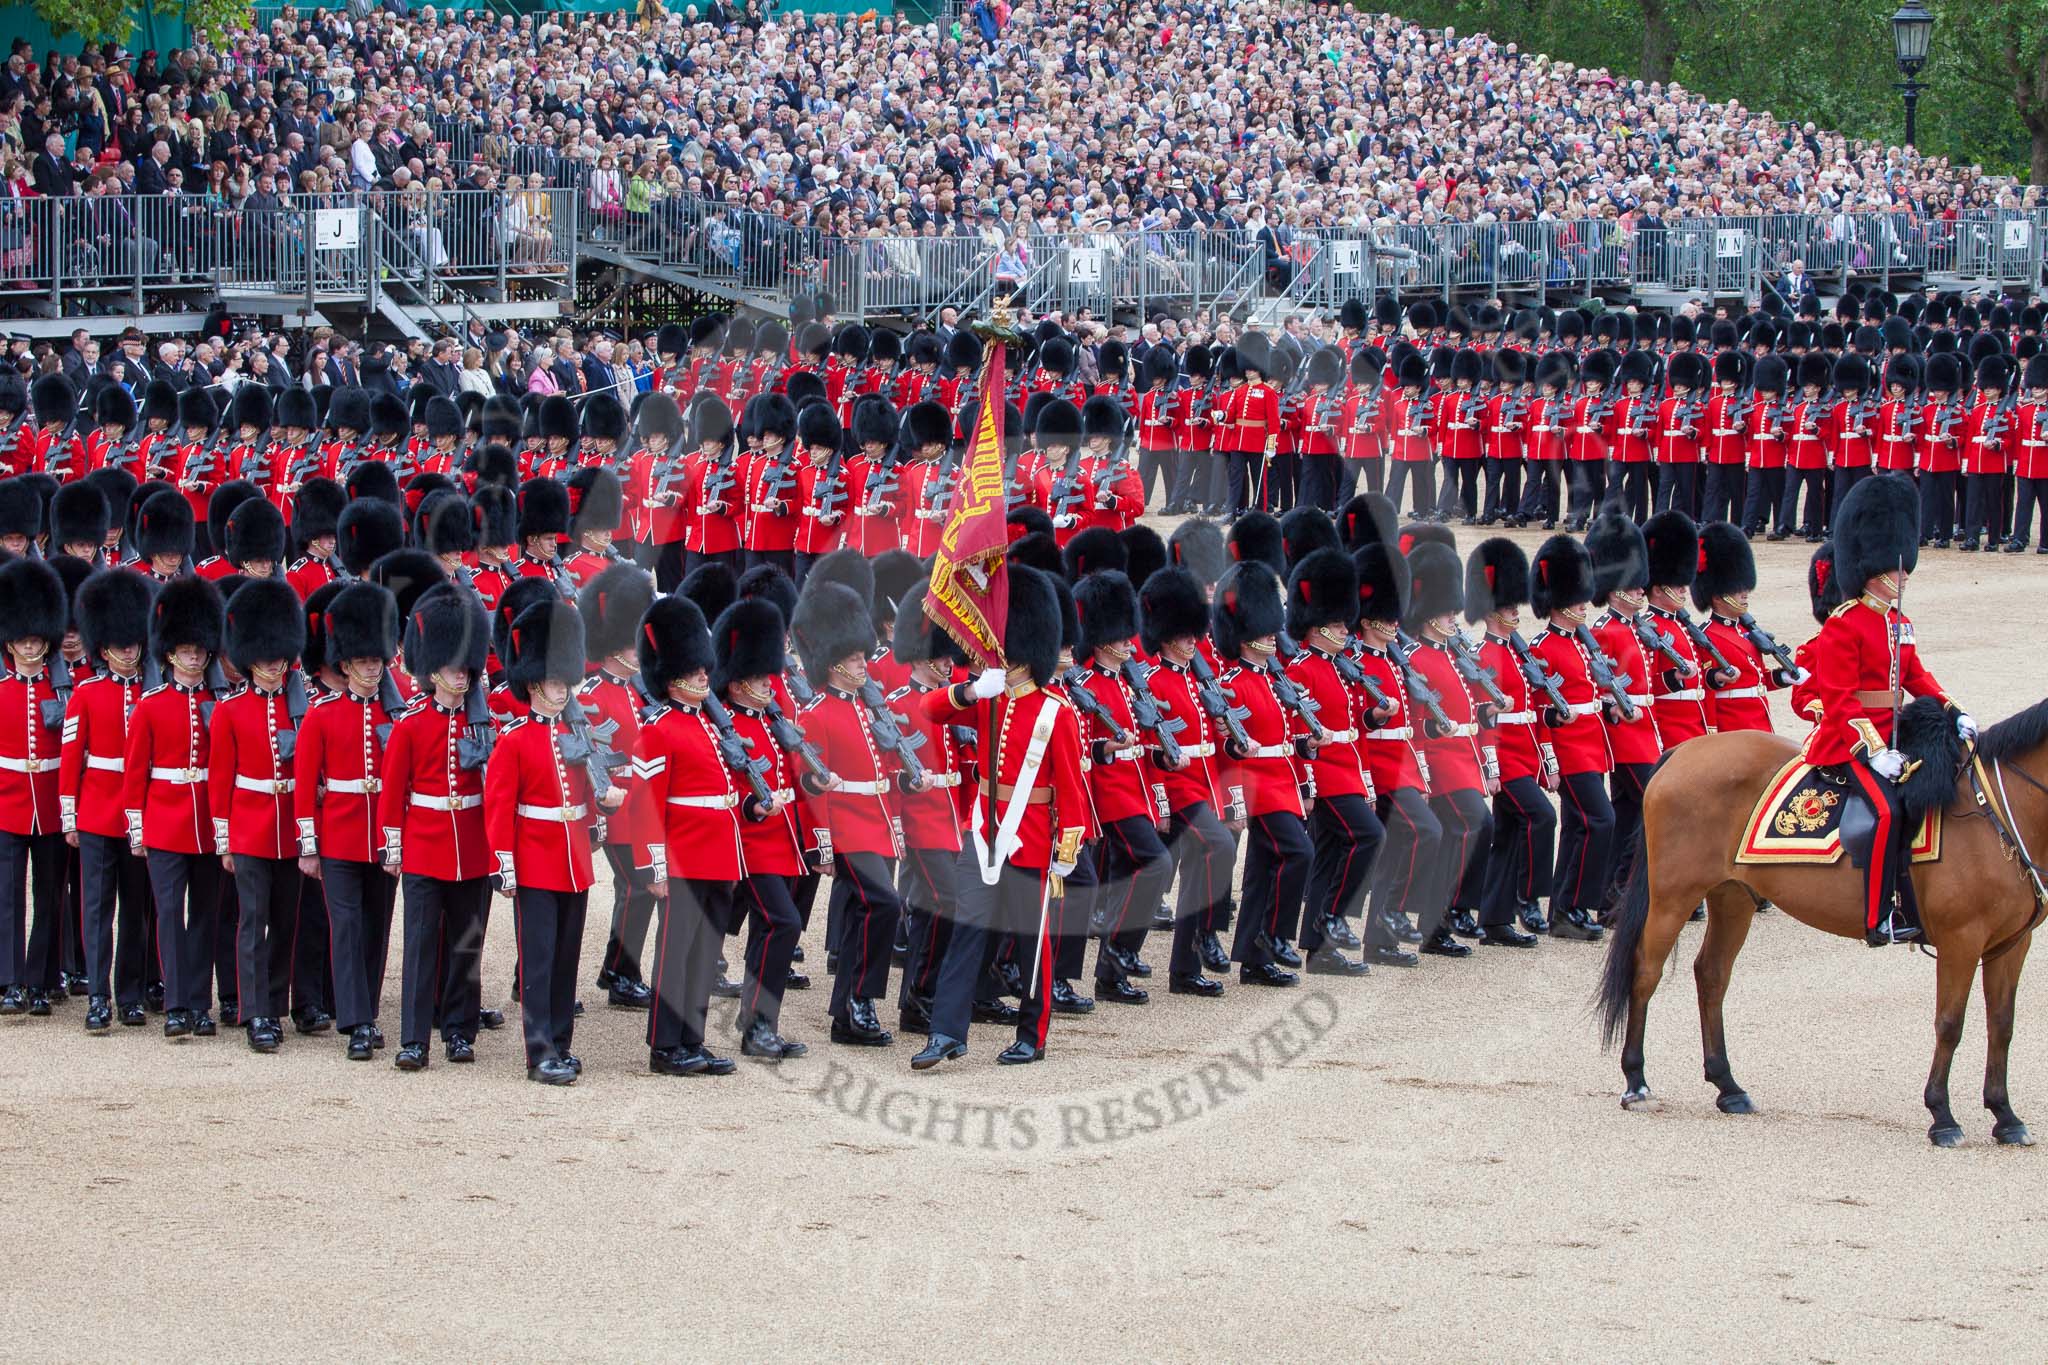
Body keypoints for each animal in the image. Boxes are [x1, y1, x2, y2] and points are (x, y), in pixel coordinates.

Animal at [1597, 699, 2048, 1146]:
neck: (1995, 814)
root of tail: (1682, 752)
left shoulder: (2011, 945)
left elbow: (2002, 1024)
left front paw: (2005, 1116)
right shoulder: (1960, 941)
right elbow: (1950, 1024)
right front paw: (1942, 1116)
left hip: (1732, 896)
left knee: (1712, 975)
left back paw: (1728, 1087)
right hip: (1674, 895)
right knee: (1646, 972)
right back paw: (1636, 1083)